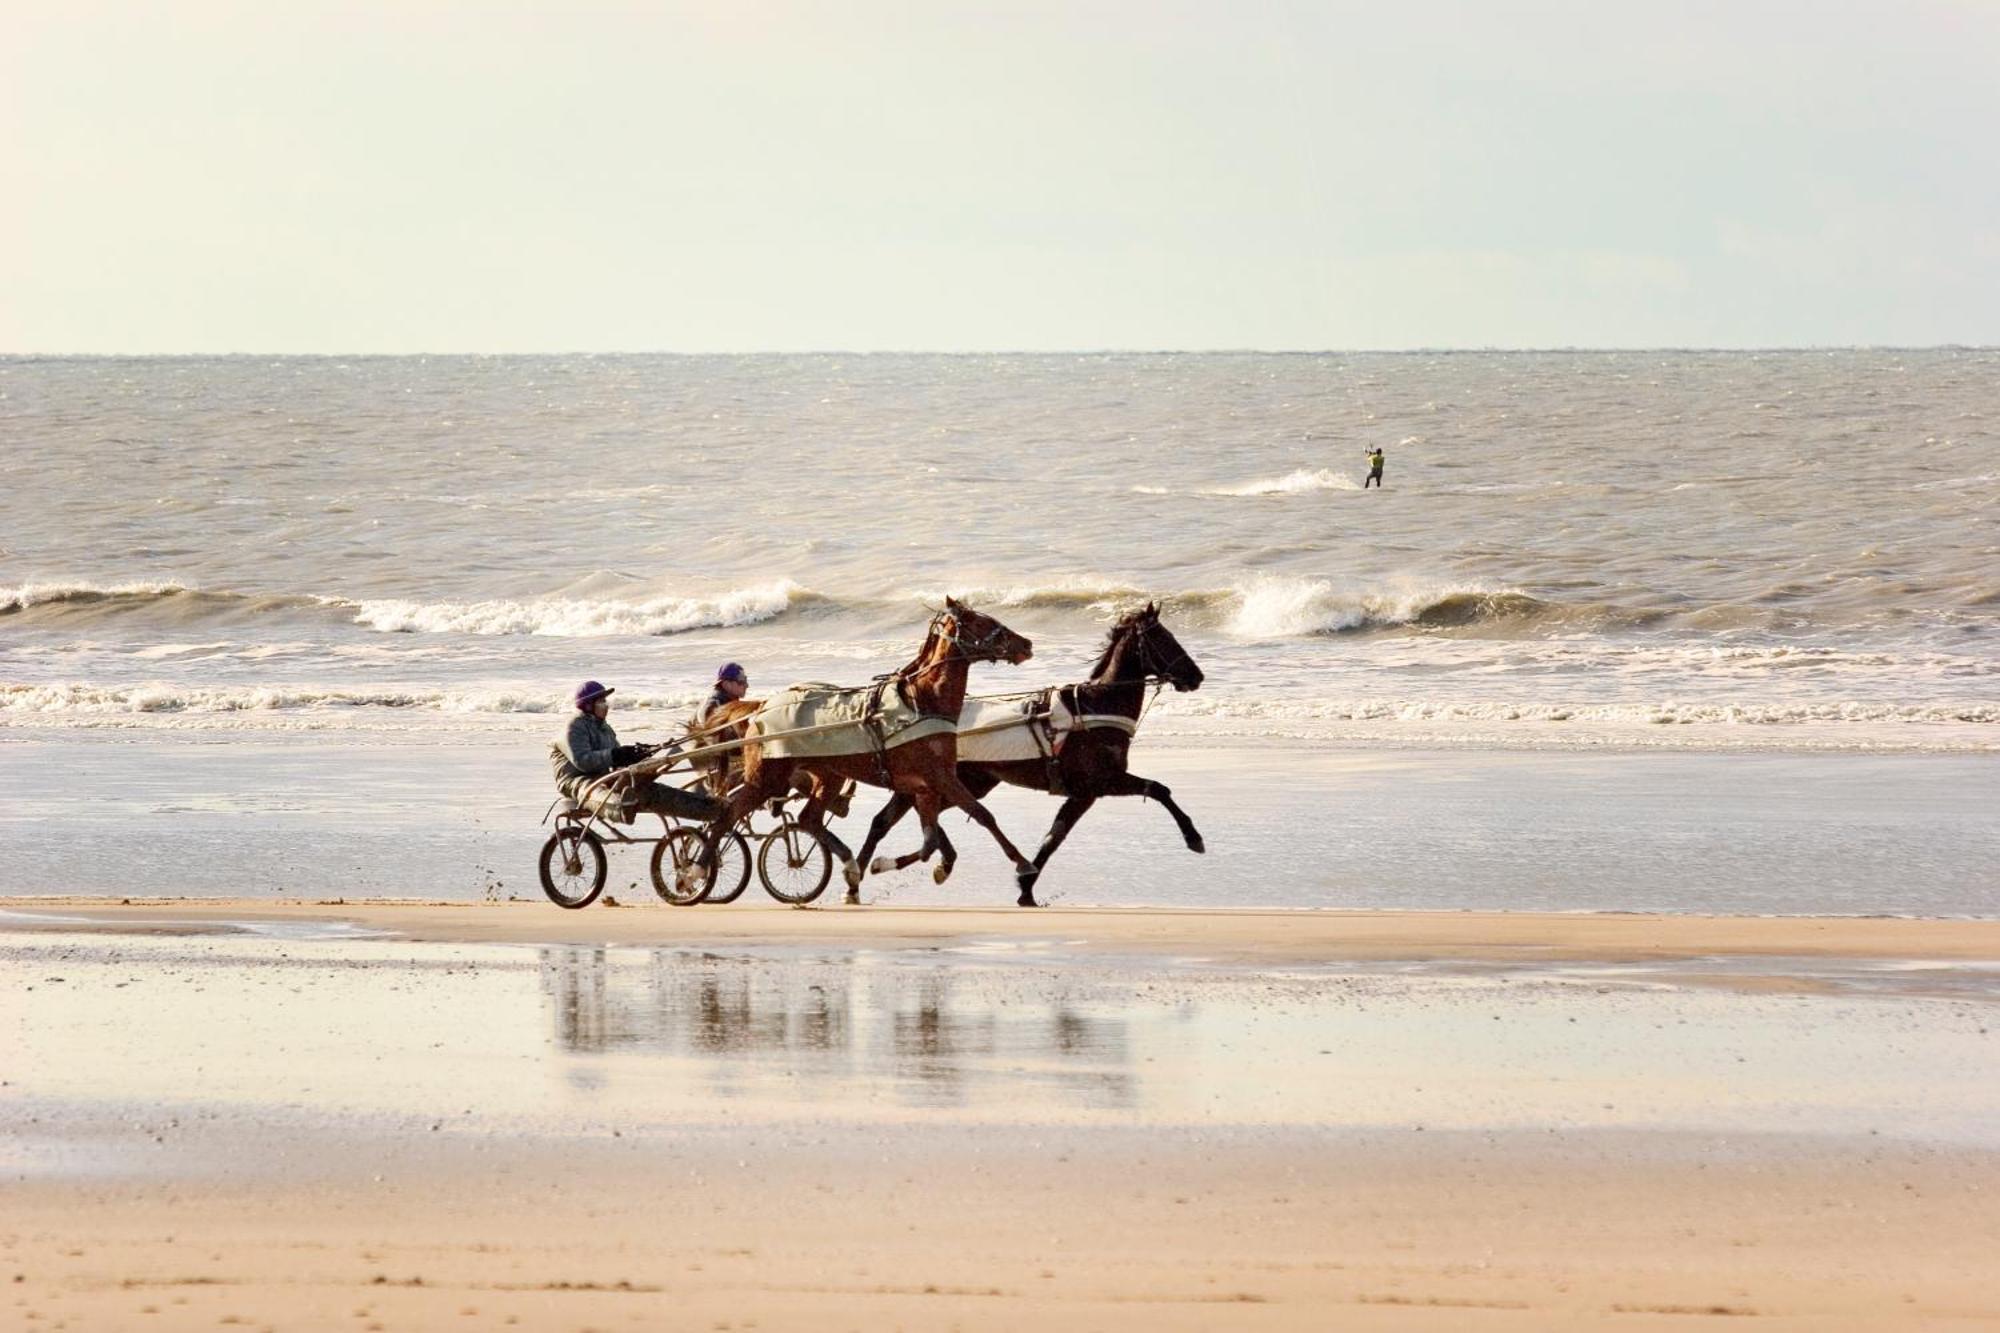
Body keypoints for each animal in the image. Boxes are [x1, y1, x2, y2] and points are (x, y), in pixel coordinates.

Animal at [696, 600, 1040, 904]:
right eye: (983, 622)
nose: (1027, 643)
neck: (921, 702)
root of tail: (761, 708)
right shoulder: (941, 778)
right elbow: (982, 814)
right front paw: (1023, 863)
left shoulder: (924, 787)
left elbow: (928, 841)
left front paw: (885, 865)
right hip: (767, 778)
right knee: (727, 816)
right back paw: (697, 869)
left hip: (828, 775)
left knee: (809, 819)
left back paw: (849, 865)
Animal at [848, 600, 1200, 904]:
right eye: (1164, 639)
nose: (1197, 676)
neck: (1095, 708)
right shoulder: (1100, 782)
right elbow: (1159, 789)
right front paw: (1194, 838)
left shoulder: (1083, 793)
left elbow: (1054, 837)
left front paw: (1026, 888)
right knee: (903, 819)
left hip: (961, 782)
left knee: (894, 820)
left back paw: (879, 871)